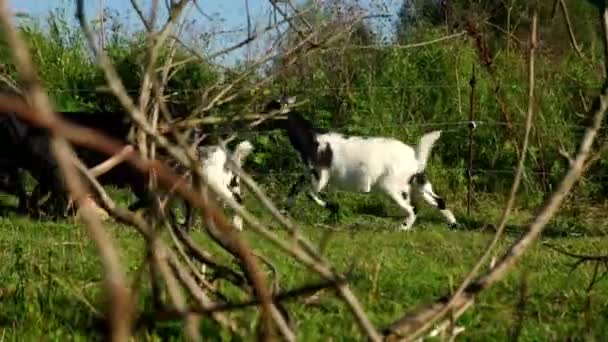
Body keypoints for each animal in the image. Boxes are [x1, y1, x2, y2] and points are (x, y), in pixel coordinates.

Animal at [268, 96, 458, 230]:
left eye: (268, 110)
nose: (258, 120)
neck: (312, 139)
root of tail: (414, 158)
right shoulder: (308, 174)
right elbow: (296, 187)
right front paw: (283, 212)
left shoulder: (320, 176)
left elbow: (309, 193)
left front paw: (332, 207)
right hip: (419, 183)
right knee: (439, 201)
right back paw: (453, 224)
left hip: (392, 186)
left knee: (413, 209)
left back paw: (402, 228)